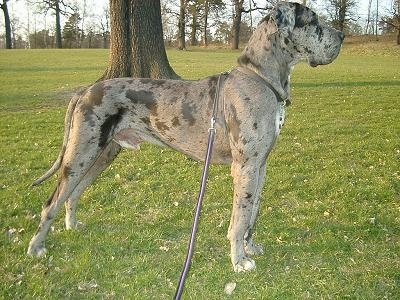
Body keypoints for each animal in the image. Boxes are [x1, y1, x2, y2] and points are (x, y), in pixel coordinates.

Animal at [27, 2, 344, 274]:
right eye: (312, 21)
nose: (341, 35)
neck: (260, 78)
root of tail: (85, 90)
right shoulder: (245, 167)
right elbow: (240, 218)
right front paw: (239, 260)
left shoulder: (261, 166)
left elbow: (253, 211)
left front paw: (249, 247)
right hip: (80, 154)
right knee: (51, 202)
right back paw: (36, 248)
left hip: (101, 155)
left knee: (73, 194)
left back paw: (72, 225)